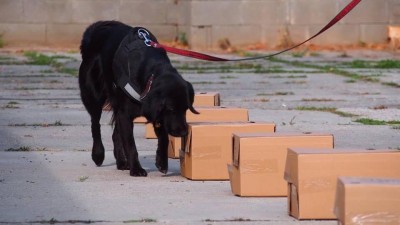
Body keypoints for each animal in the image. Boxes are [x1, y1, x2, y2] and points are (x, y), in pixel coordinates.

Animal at [78, 20, 198, 176]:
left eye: (185, 109)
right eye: (171, 108)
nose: (184, 132)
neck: (150, 77)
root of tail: (94, 30)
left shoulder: (156, 113)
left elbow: (164, 138)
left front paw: (162, 162)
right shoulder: (126, 114)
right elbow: (131, 145)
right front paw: (136, 169)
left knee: (115, 134)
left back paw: (121, 162)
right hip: (94, 95)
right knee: (95, 123)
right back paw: (98, 154)